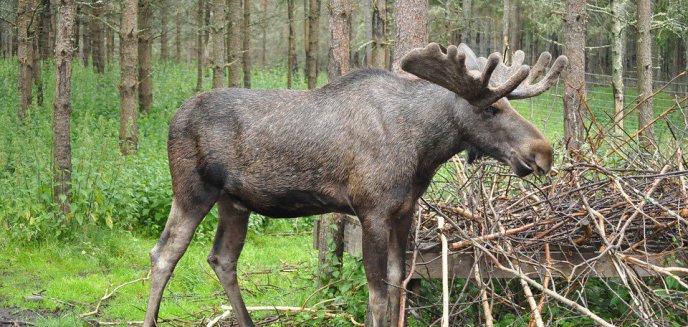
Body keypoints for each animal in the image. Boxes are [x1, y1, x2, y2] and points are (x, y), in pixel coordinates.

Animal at [142, 43, 568, 327]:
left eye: (509, 104)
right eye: (491, 108)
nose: (543, 152)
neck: (423, 149)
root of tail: (172, 119)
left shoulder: (404, 211)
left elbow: (398, 283)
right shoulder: (371, 210)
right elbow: (377, 295)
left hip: (235, 201)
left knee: (222, 258)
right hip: (192, 191)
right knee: (164, 254)